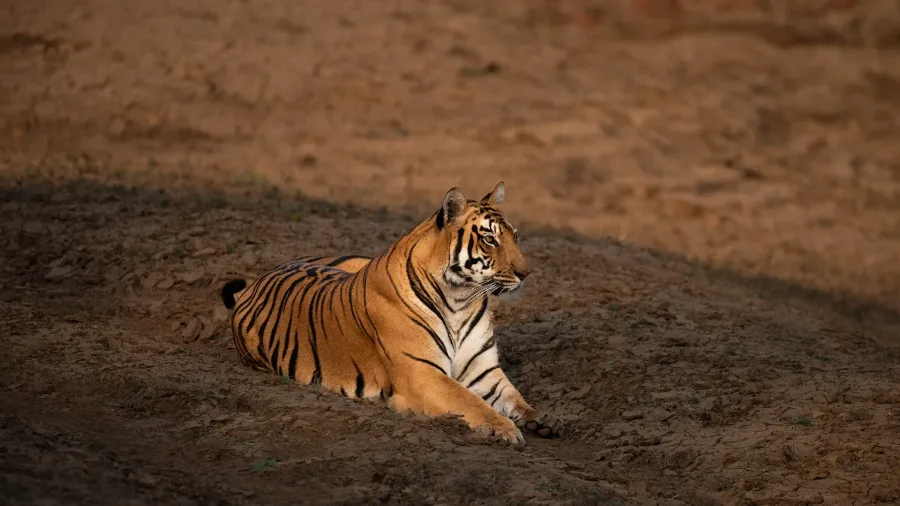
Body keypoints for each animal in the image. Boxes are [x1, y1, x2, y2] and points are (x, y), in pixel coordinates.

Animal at [219, 182, 563, 444]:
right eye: (490, 239)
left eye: (515, 236)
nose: (526, 273)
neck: (461, 300)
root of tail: (254, 282)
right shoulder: (421, 373)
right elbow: (471, 402)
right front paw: (505, 429)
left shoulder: (484, 371)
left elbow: (514, 396)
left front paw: (545, 417)